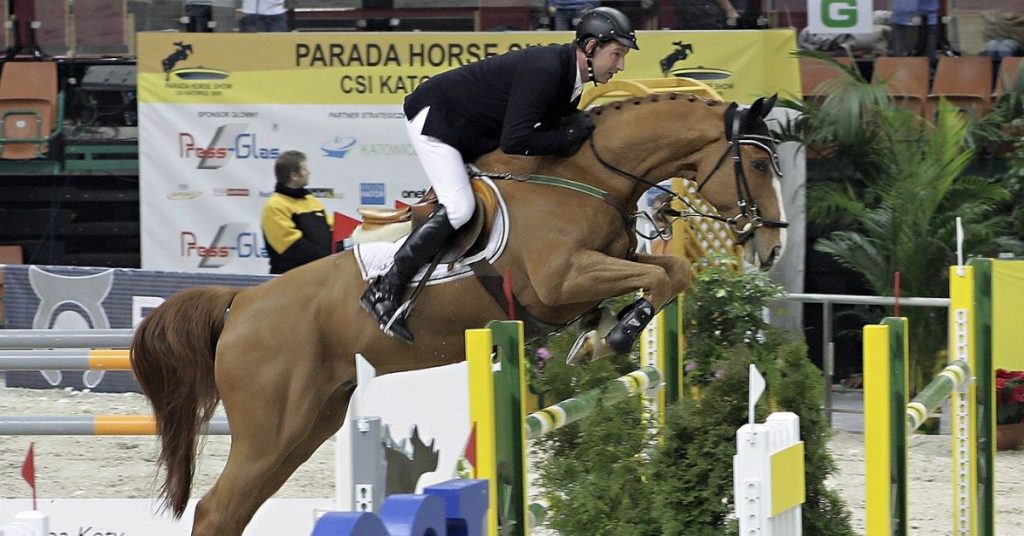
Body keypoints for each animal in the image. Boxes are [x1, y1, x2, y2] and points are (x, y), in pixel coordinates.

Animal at [129, 92, 787, 535]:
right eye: (756, 166)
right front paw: (619, 332)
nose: (773, 246)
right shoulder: (562, 279)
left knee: (234, 509)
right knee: (218, 509)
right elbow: (663, 274)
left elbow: (666, 271)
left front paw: (600, 335)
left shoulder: (598, 268)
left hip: (308, 425)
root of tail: (242, 303)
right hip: (271, 429)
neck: (583, 177)